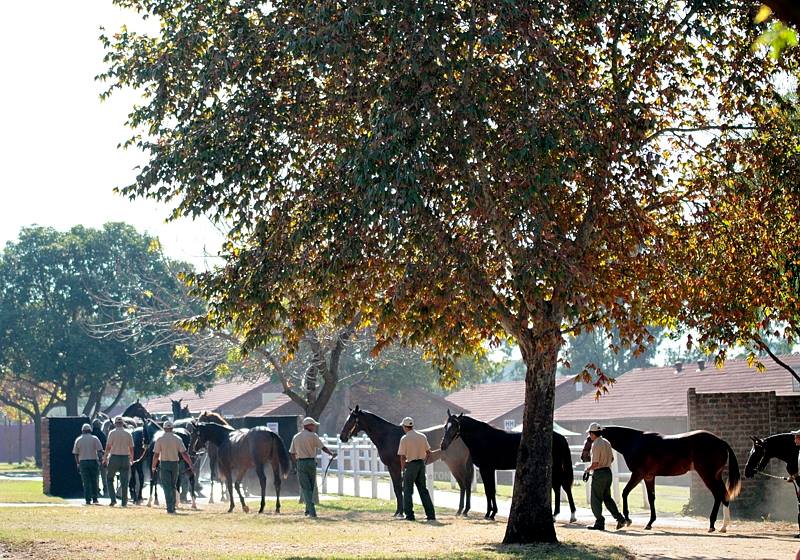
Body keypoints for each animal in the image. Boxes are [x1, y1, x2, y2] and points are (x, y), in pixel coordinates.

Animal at [340, 406, 476, 516]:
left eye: (352, 420)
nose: (342, 437)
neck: (387, 436)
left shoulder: (394, 467)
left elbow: (397, 488)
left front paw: (399, 512)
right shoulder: (395, 468)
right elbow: (398, 488)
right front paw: (399, 511)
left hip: (457, 464)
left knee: (466, 483)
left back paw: (465, 510)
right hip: (453, 465)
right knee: (462, 485)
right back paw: (460, 511)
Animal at [438, 412, 576, 520]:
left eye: (455, 426)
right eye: (445, 426)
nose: (443, 445)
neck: (483, 437)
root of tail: (561, 437)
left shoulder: (486, 469)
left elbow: (490, 490)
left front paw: (490, 513)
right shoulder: (488, 470)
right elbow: (489, 490)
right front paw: (490, 513)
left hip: (556, 467)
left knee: (564, 486)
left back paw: (572, 515)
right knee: (558, 487)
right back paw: (555, 515)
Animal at [580, 426, 740, 532]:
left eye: (589, 438)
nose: (583, 457)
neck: (634, 441)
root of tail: (721, 441)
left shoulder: (638, 474)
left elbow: (625, 492)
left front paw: (627, 520)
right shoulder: (649, 477)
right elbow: (651, 498)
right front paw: (649, 523)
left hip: (707, 475)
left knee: (718, 495)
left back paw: (713, 525)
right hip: (715, 476)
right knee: (724, 495)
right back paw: (723, 526)